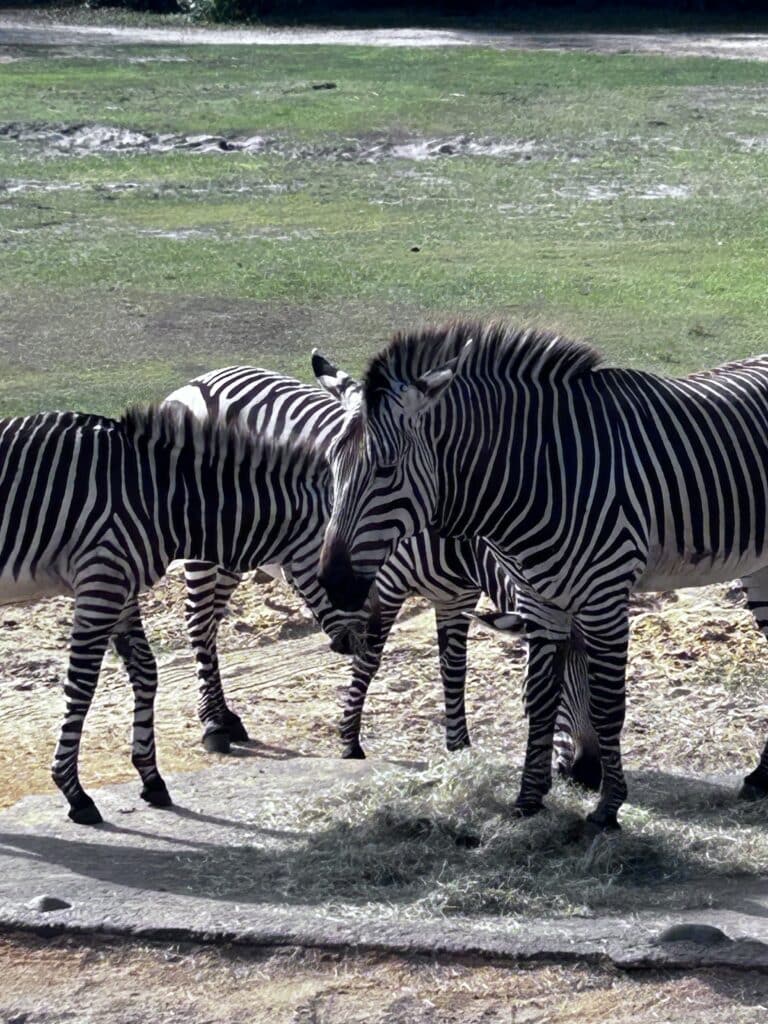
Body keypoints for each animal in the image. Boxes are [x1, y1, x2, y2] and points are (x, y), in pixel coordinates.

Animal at [0, 404, 370, 825]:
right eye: (336, 567)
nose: (364, 639)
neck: (154, 497)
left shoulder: (120, 586)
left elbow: (145, 672)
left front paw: (151, 777)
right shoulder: (101, 578)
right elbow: (82, 686)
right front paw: (73, 791)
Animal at [165, 364, 599, 782]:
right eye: (555, 687)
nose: (588, 773)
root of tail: (202, 379)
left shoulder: (458, 598)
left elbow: (454, 670)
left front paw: (460, 749)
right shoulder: (387, 584)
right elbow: (371, 659)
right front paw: (349, 743)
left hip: (234, 551)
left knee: (211, 623)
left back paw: (225, 717)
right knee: (199, 622)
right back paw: (213, 727)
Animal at [316, 319, 768, 831]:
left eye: (386, 470)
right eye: (330, 466)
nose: (334, 583)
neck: (538, 473)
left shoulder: (603, 597)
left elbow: (608, 705)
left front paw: (608, 810)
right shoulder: (538, 600)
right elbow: (536, 699)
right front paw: (528, 801)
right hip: (760, 566)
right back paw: (761, 778)